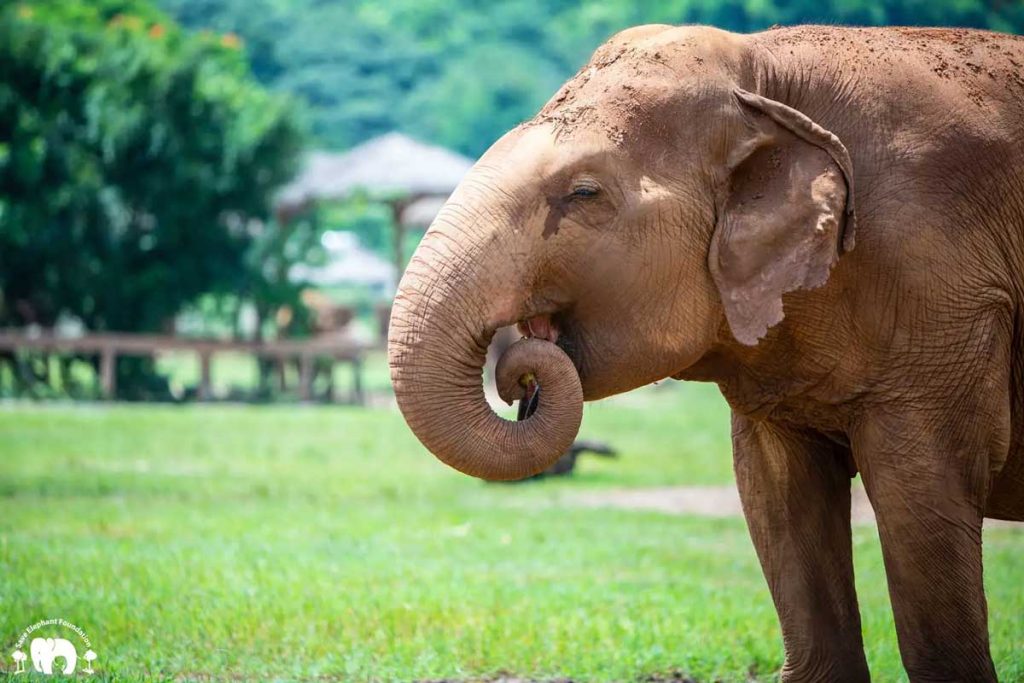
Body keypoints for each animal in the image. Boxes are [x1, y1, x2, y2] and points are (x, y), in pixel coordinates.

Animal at [389, 24, 1024, 683]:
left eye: (584, 192)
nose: (520, 379)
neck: (764, 69)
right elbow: (774, 494)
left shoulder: (949, 295)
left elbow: (924, 495)